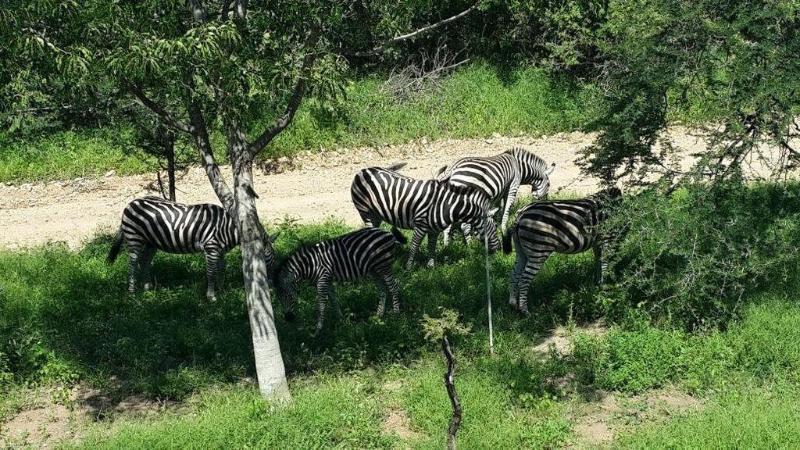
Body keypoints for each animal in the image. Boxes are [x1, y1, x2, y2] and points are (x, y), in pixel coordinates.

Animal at [106, 195, 276, 300]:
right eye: (271, 258)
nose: (272, 286)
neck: (228, 228)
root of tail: (131, 203)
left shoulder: (220, 251)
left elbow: (222, 269)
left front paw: (222, 290)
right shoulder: (211, 248)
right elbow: (211, 272)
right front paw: (211, 296)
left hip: (151, 242)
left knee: (144, 261)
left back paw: (148, 288)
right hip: (134, 237)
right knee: (133, 263)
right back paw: (132, 292)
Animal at [278, 229, 410, 330]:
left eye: (289, 295)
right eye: (279, 298)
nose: (288, 318)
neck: (311, 265)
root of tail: (389, 234)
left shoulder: (322, 280)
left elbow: (321, 304)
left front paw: (318, 329)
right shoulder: (327, 280)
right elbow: (333, 300)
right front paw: (341, 321)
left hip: (384, 266)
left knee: (393, 286)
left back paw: (396, 314)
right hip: (374, 270)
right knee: (383, 289)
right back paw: (379, 315)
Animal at [350, 163, 500, 268]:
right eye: (494, 227)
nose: (498, 250)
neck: (447, 205)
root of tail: (364, 170)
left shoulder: (434, 230)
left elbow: (431, 248)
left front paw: (431, 268)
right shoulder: (420, 226)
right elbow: (414, 246)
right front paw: (408, 268)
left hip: (376, 215)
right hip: (365, 211)